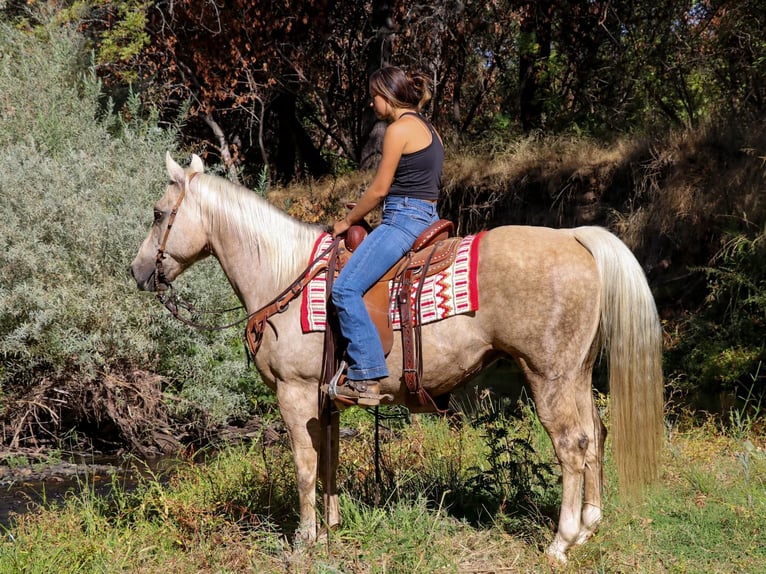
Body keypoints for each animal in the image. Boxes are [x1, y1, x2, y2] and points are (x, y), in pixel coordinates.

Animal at [129, 153, 664, 564]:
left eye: (158, 213)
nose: (137, 271)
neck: (286, 274)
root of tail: (574, 237)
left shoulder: (295, 393)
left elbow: (304, 465)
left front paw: (304, 541)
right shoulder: (326, 400)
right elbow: (330, 460)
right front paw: (331, 530)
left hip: (548, 376)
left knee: (572, 445)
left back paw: (560, 542)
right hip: (578, 373)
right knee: (596, 434)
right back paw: (590, 526)